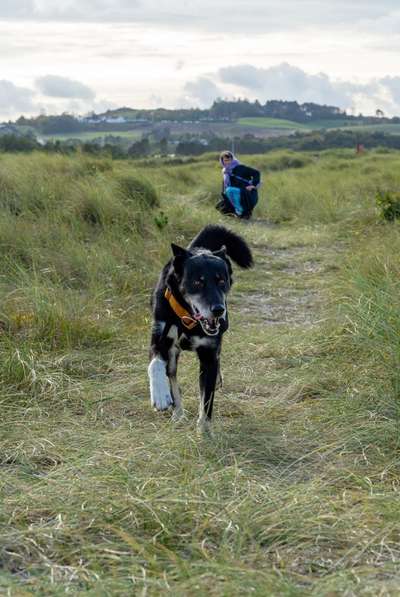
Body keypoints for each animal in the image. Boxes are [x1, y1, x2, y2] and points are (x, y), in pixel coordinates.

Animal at [148, 226, 252, 430]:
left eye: (222, 281)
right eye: (197, 282)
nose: (218, 310)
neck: (187, 318)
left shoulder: (208, 354)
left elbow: (206, 400)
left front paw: (204, 431)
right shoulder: (160, 339)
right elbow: (155, 365)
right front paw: (160, 395)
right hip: (173, 355)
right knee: (172, 378)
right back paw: (177, 413)